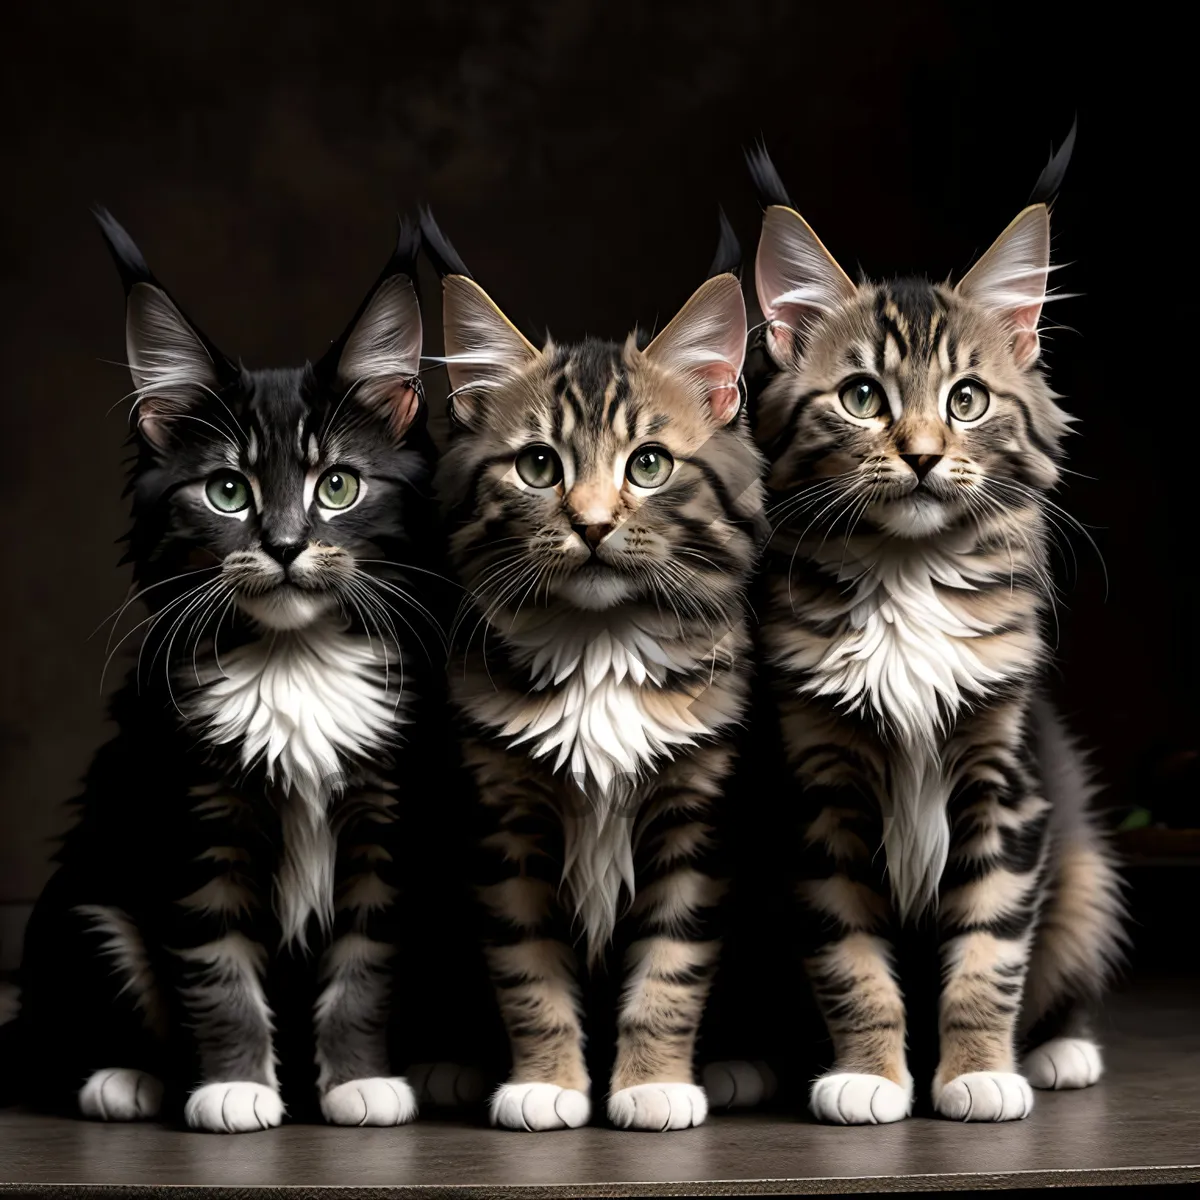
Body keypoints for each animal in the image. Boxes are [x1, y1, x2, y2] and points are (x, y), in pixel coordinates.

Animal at [16, 213, 448, 1123]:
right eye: (226, 492)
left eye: (338, 486)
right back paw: (125, 1079)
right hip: (85, 908)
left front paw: (357, 1082)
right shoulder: (193, 816)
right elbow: (215, 969)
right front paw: (234, 1088)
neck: (295, 660)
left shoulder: (382, 824)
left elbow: (365, 967)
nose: (283, 546)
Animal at [429, 218, 768, 1132]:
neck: (601, 646)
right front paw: (545, 1083)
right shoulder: (506, 827)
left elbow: (671, 969)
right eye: (539, 466)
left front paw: (652, 1085)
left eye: (647, 465)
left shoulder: (694, 821)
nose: (589, 525)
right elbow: (527, 973)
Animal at [748, 152, 1123, 1123]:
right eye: (861, 397)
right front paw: (870, 1077)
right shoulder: (820, 795)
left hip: (1086, 871)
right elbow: (850, 960)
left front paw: (980, 1073)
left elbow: (990, 952)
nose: (920, 455)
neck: (907, 579)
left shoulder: (1008, 787)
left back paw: (1061, 1050)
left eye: (967, 399)